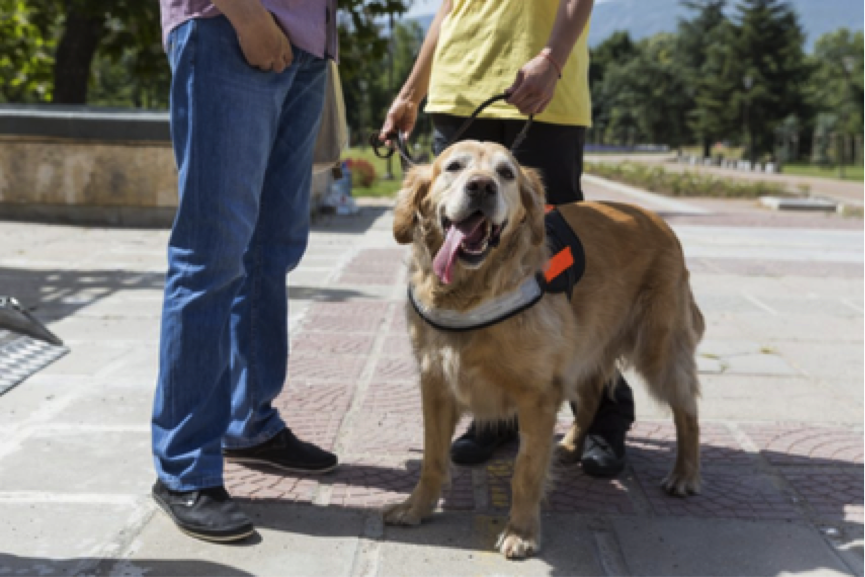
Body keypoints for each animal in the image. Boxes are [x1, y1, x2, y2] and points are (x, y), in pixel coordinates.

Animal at [384, 140, 704, 560]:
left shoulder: (537, 393)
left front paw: (521, 531)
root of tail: (659, 220)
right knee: (592, 396)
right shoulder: (435, 382)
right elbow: (432, 458)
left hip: (659, 348)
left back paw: (684, 473)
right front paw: (416, 507)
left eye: (506, 173)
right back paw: (571, 444)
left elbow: (526, 469)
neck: (471, 291)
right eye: (454, 167)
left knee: (687, 410)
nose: (482, 187)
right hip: (587, 349)